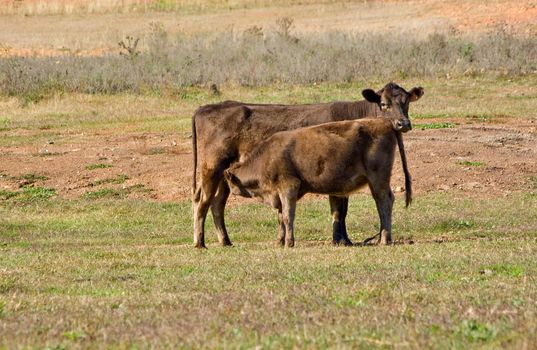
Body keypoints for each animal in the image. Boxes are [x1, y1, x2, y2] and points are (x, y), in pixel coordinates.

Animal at [222, 117, 410, 246]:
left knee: (384, 202)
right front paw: (279, 241)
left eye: (230, 184)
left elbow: (288, 217)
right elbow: (281, 218)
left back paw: (384, 239)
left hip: (378, 181)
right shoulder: (279, 194)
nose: (231, 190)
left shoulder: (288, 188)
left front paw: (289, 243)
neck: (267, 157)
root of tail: (386, 122)